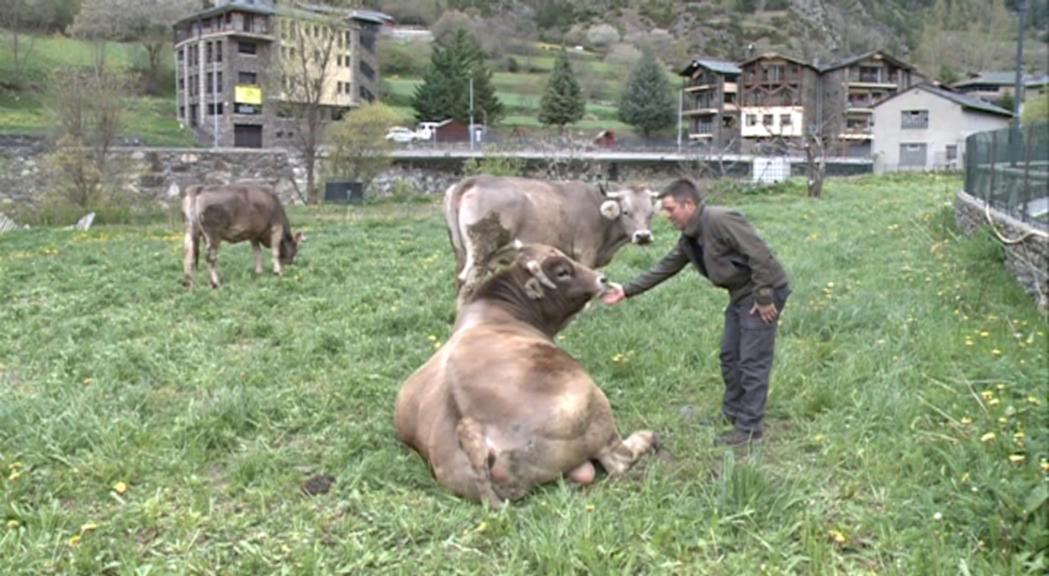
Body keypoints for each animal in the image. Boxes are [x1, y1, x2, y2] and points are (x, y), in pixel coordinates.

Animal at [394, 242, 654, 503]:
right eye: (561, 271)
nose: (603, 279)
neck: (497, 311)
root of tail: (472, 427)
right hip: (595, 406)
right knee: (618, 459)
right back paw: (646, 437)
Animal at [442, 175, 654, 306]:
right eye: (626, 212)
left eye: (651, 213)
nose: (643, 236)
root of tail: (476, 179)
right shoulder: (585, 252)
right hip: (481, 253)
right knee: (467, 286)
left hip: (460, 253)